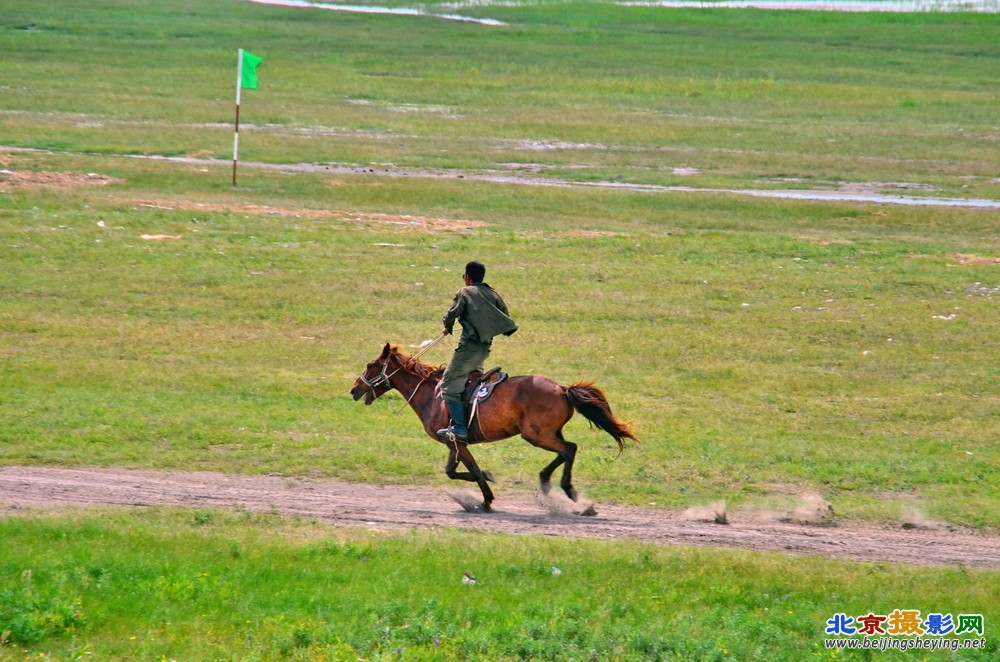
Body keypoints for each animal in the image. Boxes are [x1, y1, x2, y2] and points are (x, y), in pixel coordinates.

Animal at [348, 344, 636, 516]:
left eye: (371, 365)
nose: (354, 390)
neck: (433, 394)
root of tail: (563, 389)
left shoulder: (456, 441)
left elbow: (472, 470)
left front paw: (484, 500)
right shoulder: (454, 443)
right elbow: (452, 471)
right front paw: (485, 482)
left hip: (536, 435)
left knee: (569, 450)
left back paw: (568, 491)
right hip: (547, 433)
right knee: (566, 451)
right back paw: (548, 483)